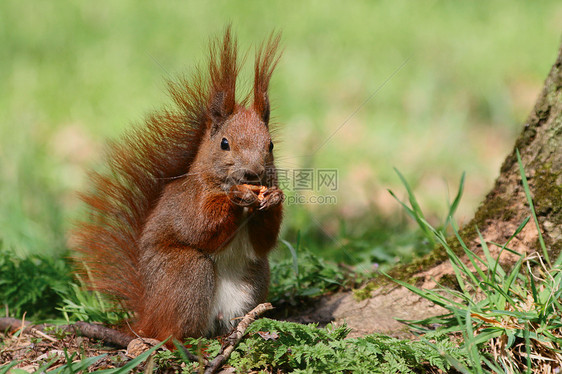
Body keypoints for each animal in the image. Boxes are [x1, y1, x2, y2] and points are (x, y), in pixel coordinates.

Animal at [73, 27, 284, 344]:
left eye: (270, 145)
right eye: (224, 144)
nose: (252, 174)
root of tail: (148, 315)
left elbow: (264, 242)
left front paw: (274, 198)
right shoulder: (189, 202)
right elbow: (200, 227)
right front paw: (235, 197)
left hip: (255, 277)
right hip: (186, 272)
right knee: (172, 332)